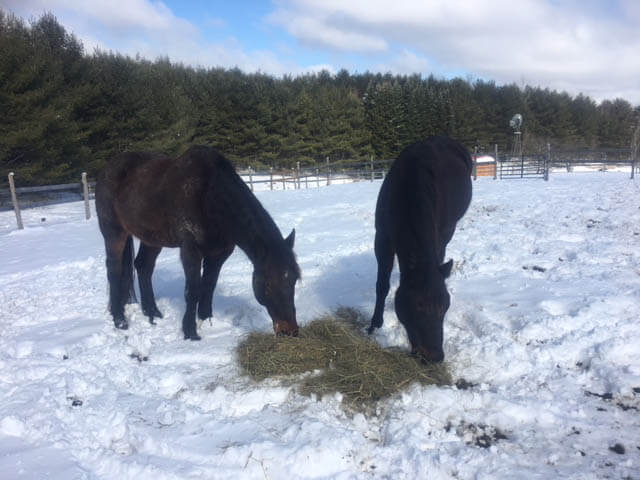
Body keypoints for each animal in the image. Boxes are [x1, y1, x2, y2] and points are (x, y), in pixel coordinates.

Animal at [95, 144, 300, 340]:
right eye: (268, 284)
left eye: (293, 281)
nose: (289, 331)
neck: (208, 196)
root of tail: (108, 169)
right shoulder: (190, 250)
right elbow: (192, 289)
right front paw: (190, 332)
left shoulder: (219, 254)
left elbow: (208, 286)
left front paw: (207, 321)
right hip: (114, 232)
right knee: (114, 270)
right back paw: (119, 319)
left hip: (152, 239)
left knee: (143, 267)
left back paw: (152, 313)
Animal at [368, 137, 472, 362]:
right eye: (417, 306)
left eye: (446, 305)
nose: (434, 357)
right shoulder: (382, 238)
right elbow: (382, 285)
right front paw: (374, 325)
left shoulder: (442, 232)